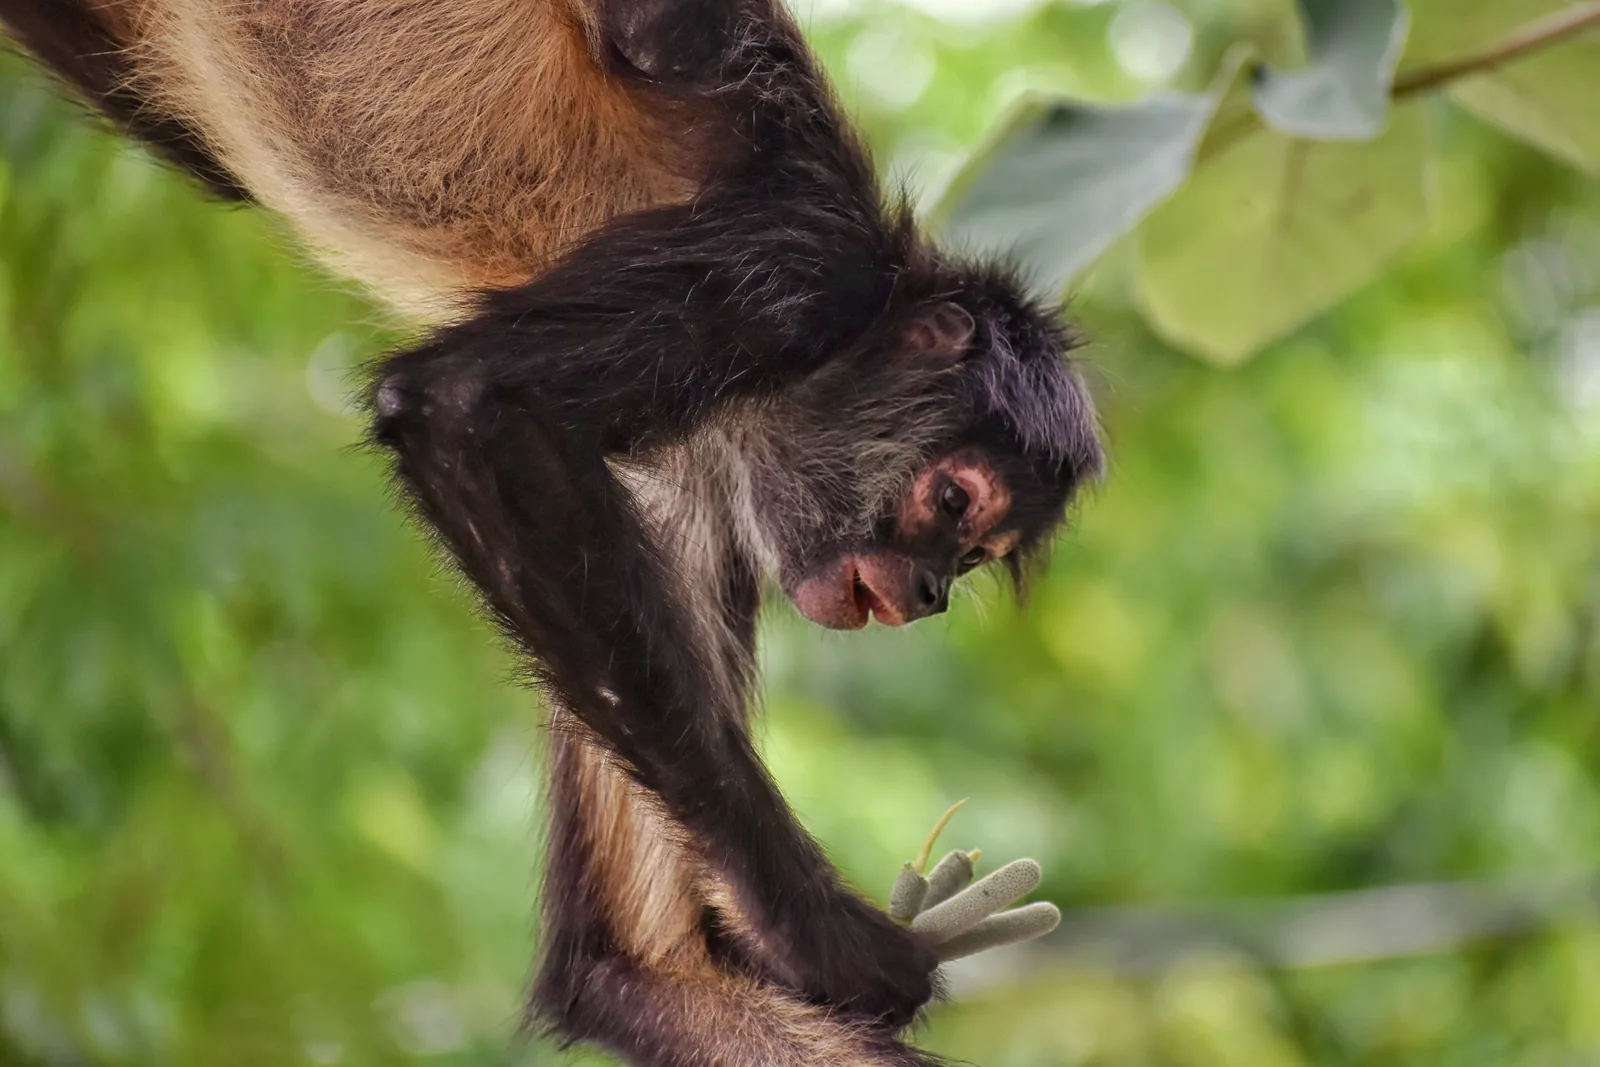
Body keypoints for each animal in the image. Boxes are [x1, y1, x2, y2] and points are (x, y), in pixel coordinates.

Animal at [0, 2, 1105, 1064]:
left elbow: (635, 965)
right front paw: (824, 936)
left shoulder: (691, 493)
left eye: (971, 558)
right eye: (953, 502)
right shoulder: (800, 268)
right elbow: (469, 405)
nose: (925, 593)